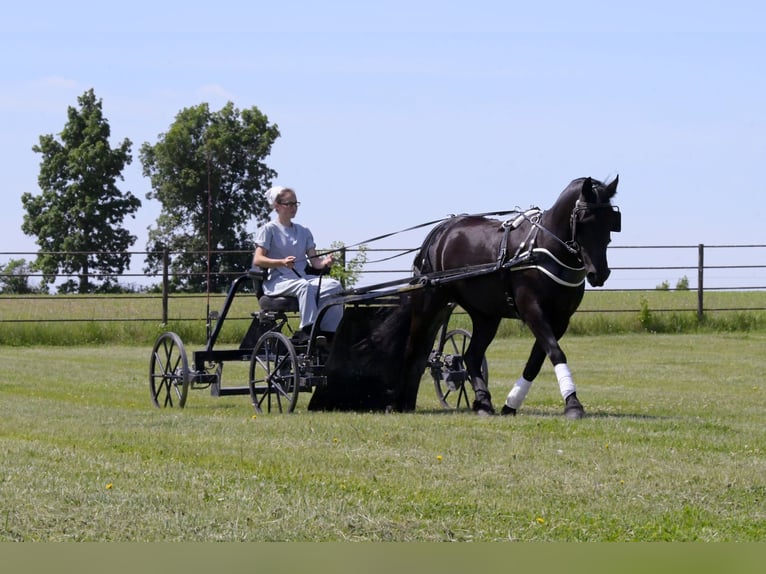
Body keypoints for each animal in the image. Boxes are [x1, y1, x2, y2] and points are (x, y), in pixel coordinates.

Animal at [402, 176, 621, 418]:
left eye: (612, 221)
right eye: (584, 220)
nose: (599, 273)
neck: (544, 248)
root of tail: (440, 230)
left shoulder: (560, 319)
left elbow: (536, 361)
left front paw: (511, 404)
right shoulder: (532, 310)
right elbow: (555, 352)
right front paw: (573, 404)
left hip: (486, 315)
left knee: (472, 356)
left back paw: (483, 402)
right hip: (429, 302)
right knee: (413, 345)